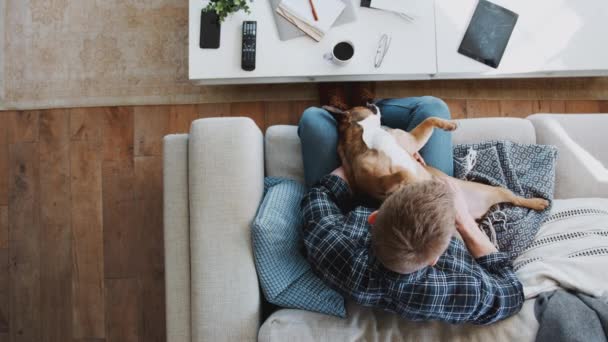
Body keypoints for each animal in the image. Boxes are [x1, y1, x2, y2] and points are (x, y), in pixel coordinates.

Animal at [324, 104, 552, 220]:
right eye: (363, 104)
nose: (373, 102)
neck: (369, 134)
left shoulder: (411, 141)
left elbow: (429, 120)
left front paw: (448, 125)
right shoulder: (373, 182)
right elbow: (402, 173)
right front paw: (414, 179)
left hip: (495, 191)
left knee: (516, 199)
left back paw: (537, 202)